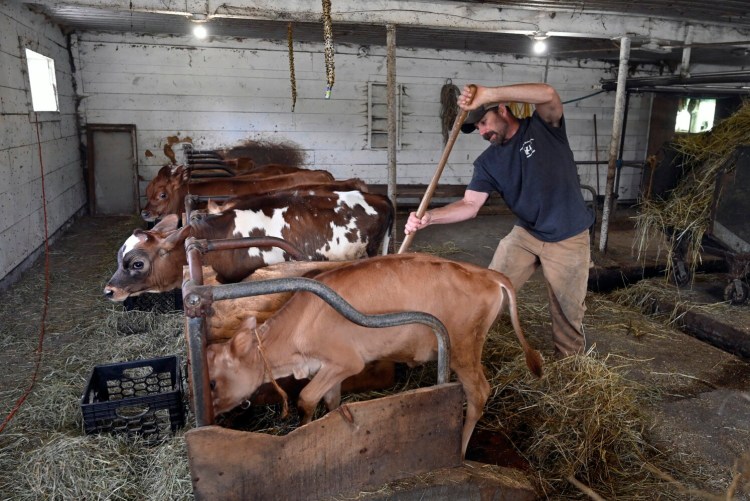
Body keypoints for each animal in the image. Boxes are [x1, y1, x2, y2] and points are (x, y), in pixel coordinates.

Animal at [207, 254, 548, 458]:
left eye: (212, 382)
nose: (213, 413)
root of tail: (488, 274)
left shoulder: (347, 360)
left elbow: (306, 398)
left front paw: (302, 431)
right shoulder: (331, 367)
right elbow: (332, 401)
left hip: (465, 348)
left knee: (479, 393)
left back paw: (460, 451)